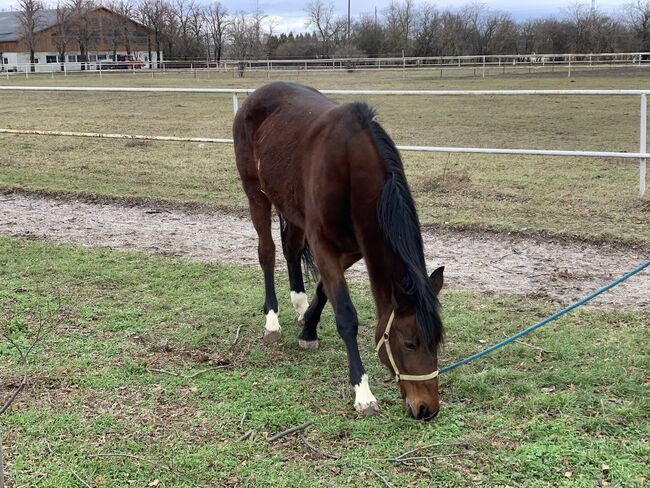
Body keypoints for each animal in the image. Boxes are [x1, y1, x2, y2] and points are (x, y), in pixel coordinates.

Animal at [230, 81, 442, 420]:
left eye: (437, 342)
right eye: (410, 342)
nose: (426, 409)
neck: (349, 168)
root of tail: (257, 95)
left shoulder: (355, 248)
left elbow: (325, 289)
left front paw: (309, 330)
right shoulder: (324, 244)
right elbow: (346, 314)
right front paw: (363, 392)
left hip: (292, 207)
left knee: (291, 250)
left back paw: (300, 306)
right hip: (256, 194)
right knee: (268, 252)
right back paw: (272, 321)